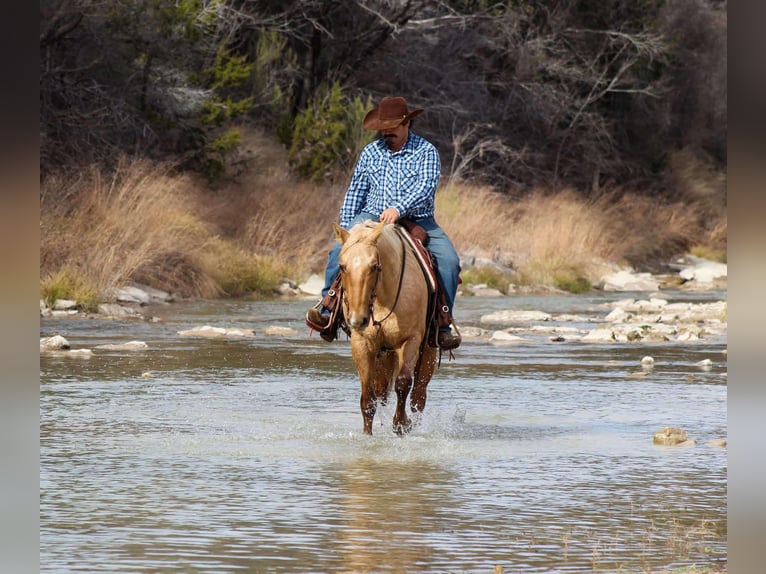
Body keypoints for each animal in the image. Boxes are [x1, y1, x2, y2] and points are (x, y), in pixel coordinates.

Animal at [333, 220, 438, 436]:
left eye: (374, 266)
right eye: (342, 266)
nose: (358, 319)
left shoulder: (411, 340)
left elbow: (403, 383)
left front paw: (401, 425)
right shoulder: (362, 343)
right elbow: (368, 397)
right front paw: (367, 435)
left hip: (427, 352)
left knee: (418, 395)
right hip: (385, 355)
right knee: (382, 392)